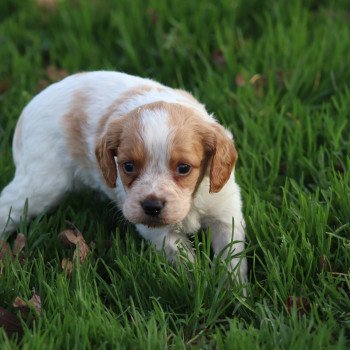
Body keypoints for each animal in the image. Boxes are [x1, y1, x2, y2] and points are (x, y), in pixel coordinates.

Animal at [0, 72, 246, 284]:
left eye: (184, 168)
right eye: (128, 166)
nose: (152, 206)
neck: (190, 202)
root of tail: (28, 109)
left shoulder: (225, 212)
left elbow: (231, 256)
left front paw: (233, 294)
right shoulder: (158, 230)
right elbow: (184, 258)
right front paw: (197, 284)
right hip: (40, 185)